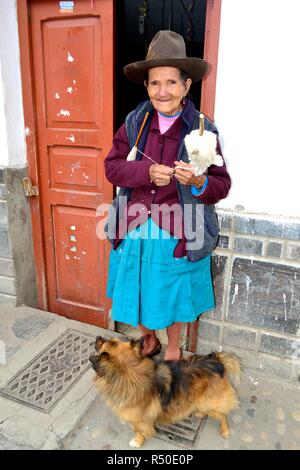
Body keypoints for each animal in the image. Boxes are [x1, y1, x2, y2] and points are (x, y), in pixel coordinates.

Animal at [89, 334, 241, 448]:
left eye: (103, 344)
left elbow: (139, 431)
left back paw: (225, 429)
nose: (97, 337)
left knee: (222, 415)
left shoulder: (141, 421)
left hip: (211, 403)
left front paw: (137, 441)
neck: (130, 373)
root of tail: (216, 362)